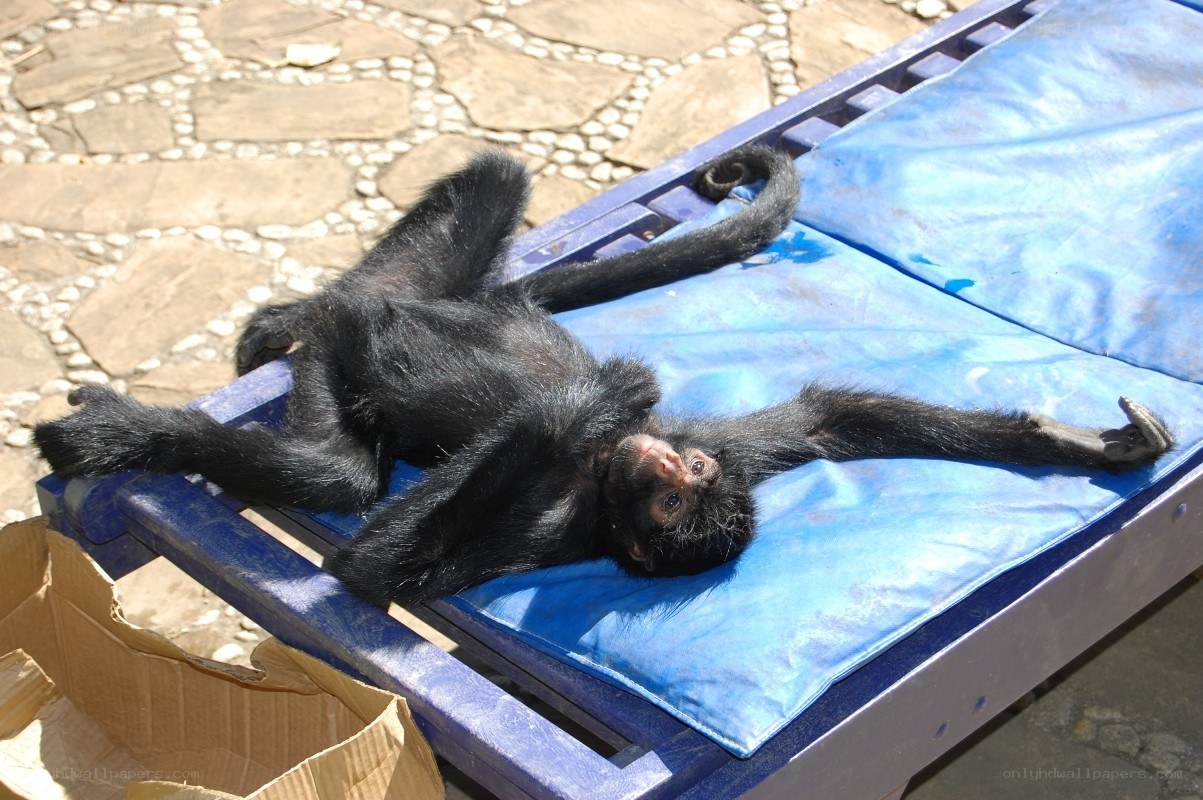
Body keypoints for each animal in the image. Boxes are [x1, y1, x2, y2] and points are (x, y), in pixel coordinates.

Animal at [33, 145, 1174, 604]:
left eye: (674, 503)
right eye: (682, 475)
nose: (657, 455)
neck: (594, 485)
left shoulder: (548, 536)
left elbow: (378, 563)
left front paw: (594, 403)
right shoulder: (731, 444)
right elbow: (829, 417)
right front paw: (1081, 439)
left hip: (343, 380)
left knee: (337, 469)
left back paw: (112, 430)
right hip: (440, 284)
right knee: (474, 200)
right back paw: (288, 315)